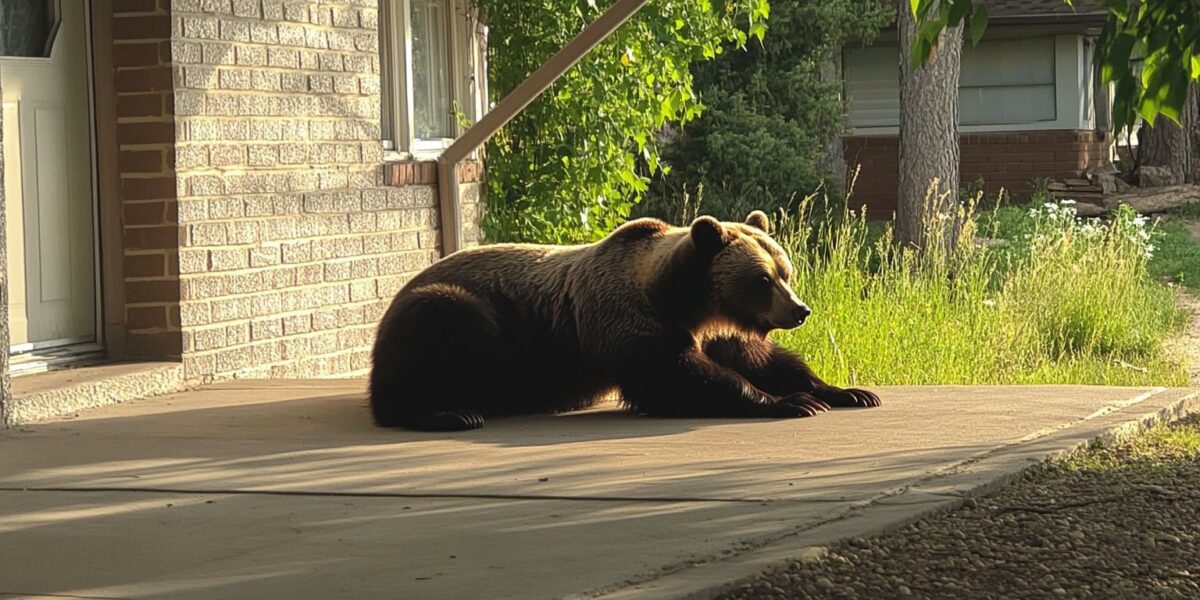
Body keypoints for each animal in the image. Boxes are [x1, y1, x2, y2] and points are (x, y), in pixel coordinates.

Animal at [369, 211, 878, 432]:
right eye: (763, 279)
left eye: (786, 272)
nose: (799, 310)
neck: (689, 304)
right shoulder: (627, 321)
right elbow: (674, 376)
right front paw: (788, 402)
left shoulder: (724, 331)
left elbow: (766, 360)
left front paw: (846, 392)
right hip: (459, 310)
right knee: (438, 334)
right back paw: (450, 412)